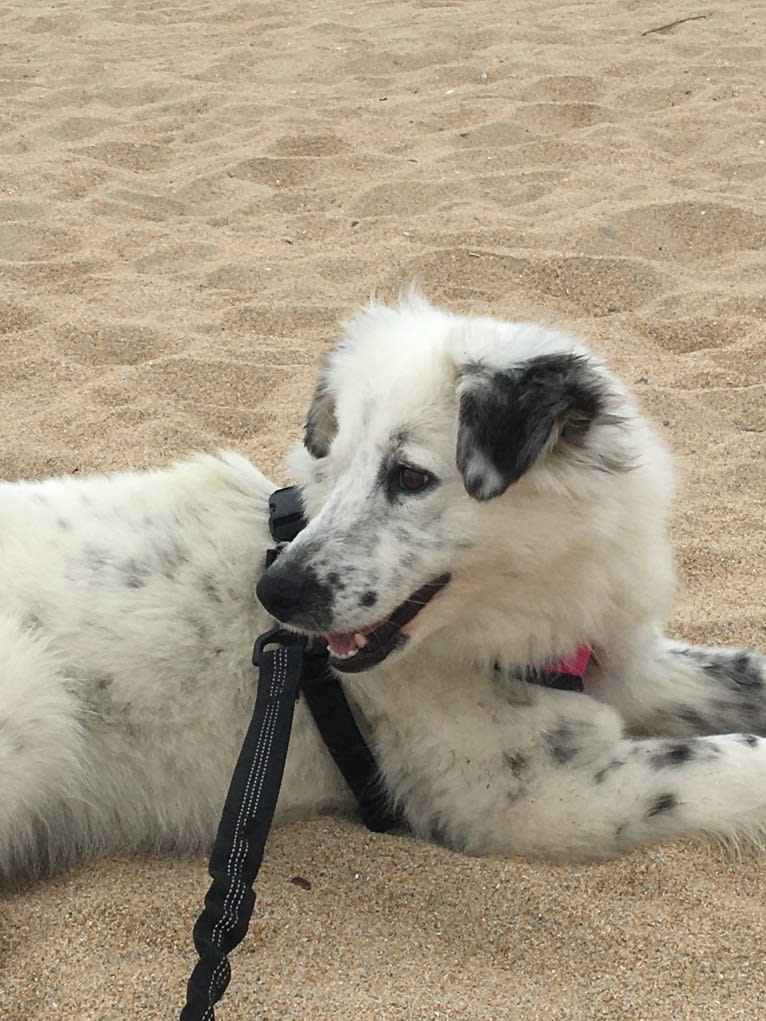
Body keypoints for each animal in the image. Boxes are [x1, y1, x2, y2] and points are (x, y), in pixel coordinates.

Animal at [1, 292, 766, 882]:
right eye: (334, 468)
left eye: (410, 476)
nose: (274, 593)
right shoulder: (530, 794)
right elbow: (729, 757)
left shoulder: (627, 663)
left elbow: (741, 674)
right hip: (32, 703)